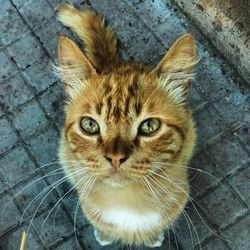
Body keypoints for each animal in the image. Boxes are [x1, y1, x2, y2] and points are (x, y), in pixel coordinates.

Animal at [56, 3, 197, 248]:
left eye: (149, 126)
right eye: (89, 125)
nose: (115, 158)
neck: (127, 203)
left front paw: (152, 236)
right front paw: (104, 234)